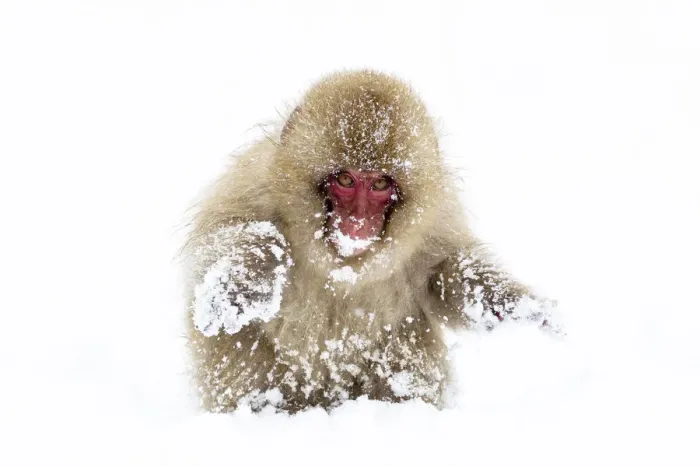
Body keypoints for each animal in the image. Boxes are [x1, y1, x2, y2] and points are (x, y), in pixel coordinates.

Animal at [182, 70, 560, 414]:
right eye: (346, 180)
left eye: (380, 184)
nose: (358, 221)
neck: (345, 265)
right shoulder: (253, 186)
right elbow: (215, 244)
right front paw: (243, 282)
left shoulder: (434, 224)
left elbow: (446, 277)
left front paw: (523, 309)